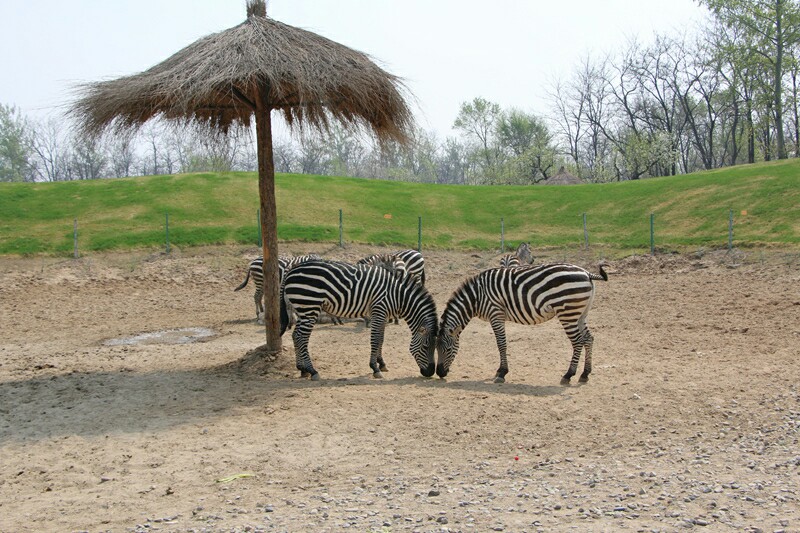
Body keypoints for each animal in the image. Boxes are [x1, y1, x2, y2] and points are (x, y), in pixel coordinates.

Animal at [280, 260, 438, 380]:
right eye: (426, 347)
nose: (430, 373)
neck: (397, 296)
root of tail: (291, 270)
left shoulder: (383, 315)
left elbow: (381, 339)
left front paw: (381, 363)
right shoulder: (379, 310)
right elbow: (375, 339)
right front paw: (375, 368)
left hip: (303, 310)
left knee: (295, 335)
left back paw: (302, 369)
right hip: (310, 307)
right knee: (301, 337)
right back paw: (312, 371)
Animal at [434, 262, 608, 382]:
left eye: (447, 349)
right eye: (436, 349)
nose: (440, 373)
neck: (476, 297)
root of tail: (586, 273)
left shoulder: (495, 313)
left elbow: (501, 343)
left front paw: (502, 372)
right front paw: (500, 370)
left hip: (568, 312)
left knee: (578, 341)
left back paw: (569, 374)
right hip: (580, 313)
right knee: (588, 338)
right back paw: (585, 373)